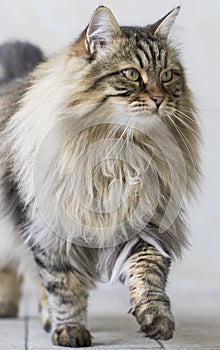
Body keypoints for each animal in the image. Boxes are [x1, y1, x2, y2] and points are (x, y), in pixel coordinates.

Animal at [0, 4, 201, 348]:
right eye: (131, 74)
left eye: (167, 75)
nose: (160, 99)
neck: (120, 153)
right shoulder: (49, 231)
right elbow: (63, 285)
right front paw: (70, 329)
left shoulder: (143, 223)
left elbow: (148, 271)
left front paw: (156, 317)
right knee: (15, 267)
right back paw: (11, 307)